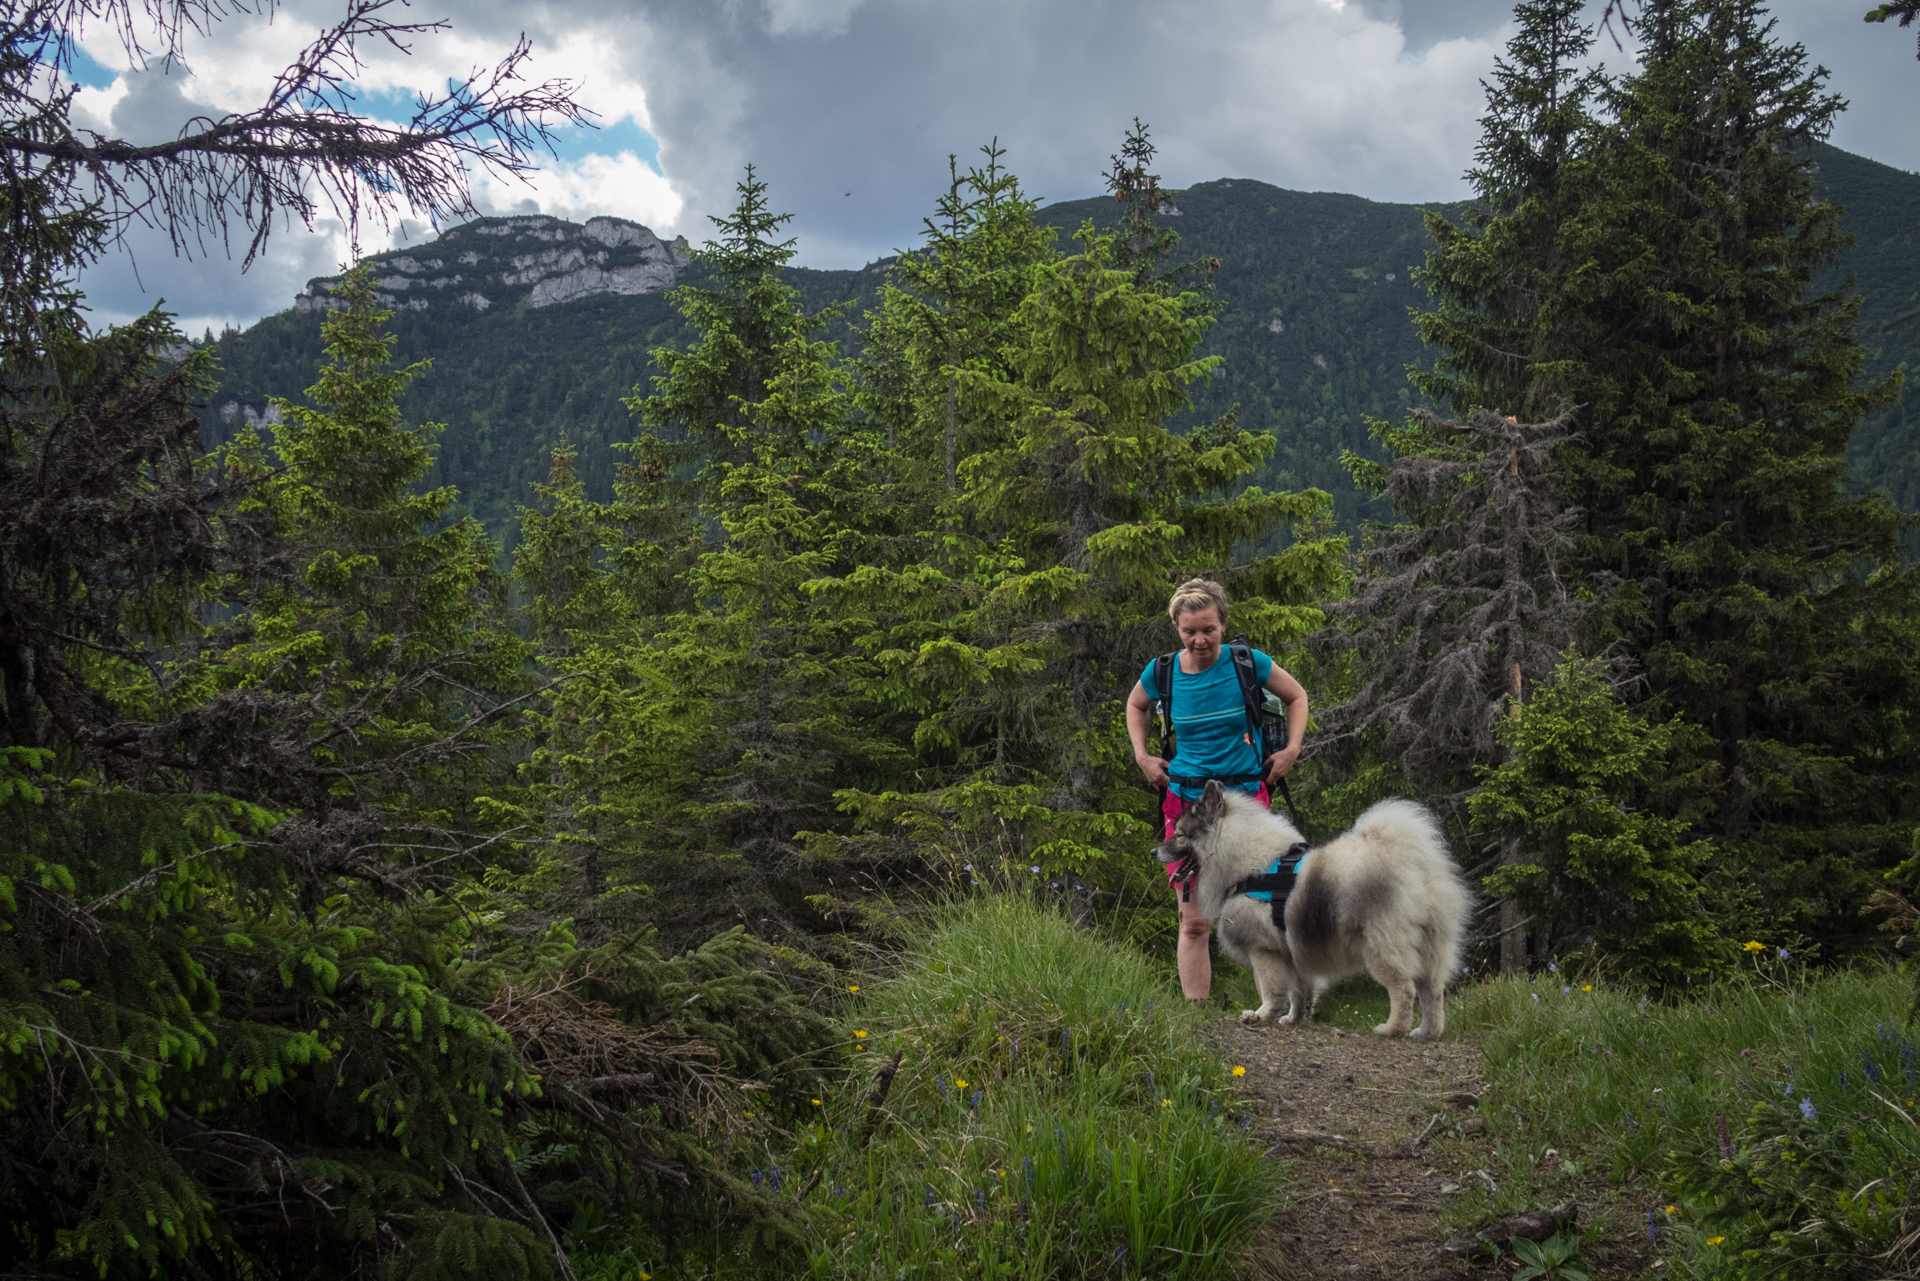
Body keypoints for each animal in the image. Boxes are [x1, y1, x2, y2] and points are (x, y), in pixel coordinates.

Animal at [1152, 783, 1466, 1044]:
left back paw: (1392, 1029)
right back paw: (1426, 1032)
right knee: (1432, 991)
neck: (1249, 866)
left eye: (1179, 835)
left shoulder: (1263, 950)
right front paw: (1294, 1018)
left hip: (1382, 947)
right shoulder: (1291, 948)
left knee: (1405, 989)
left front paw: (1261, 1015)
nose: (1154, 851)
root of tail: (1415, 863)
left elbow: (1273, 988)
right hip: (1431, 946)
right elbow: (1300, 990)